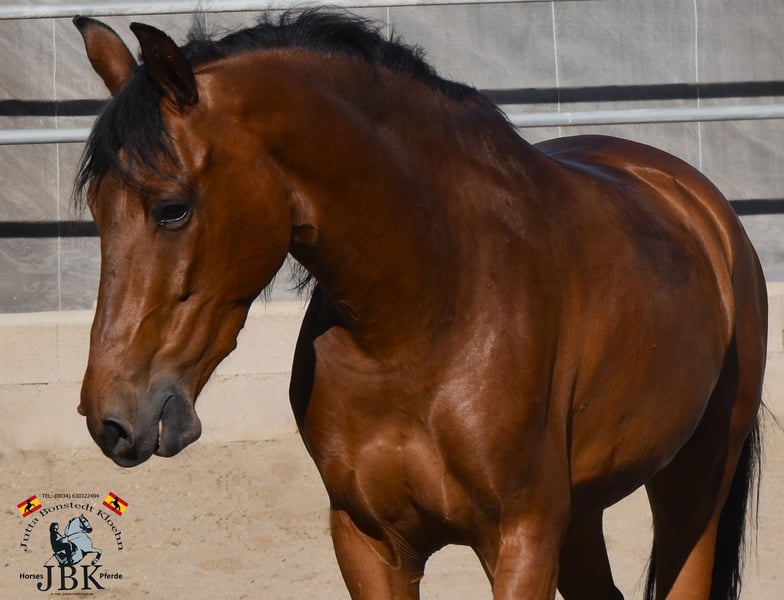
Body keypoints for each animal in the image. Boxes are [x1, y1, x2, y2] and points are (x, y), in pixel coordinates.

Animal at [72, 10, 767, 599]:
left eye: (172, 209)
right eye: (98, 211)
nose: (111, 418)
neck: (430, 315)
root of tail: (696, 201)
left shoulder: (521, 541)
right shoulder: (368, 541)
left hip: (695, 480)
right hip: (585, 511)